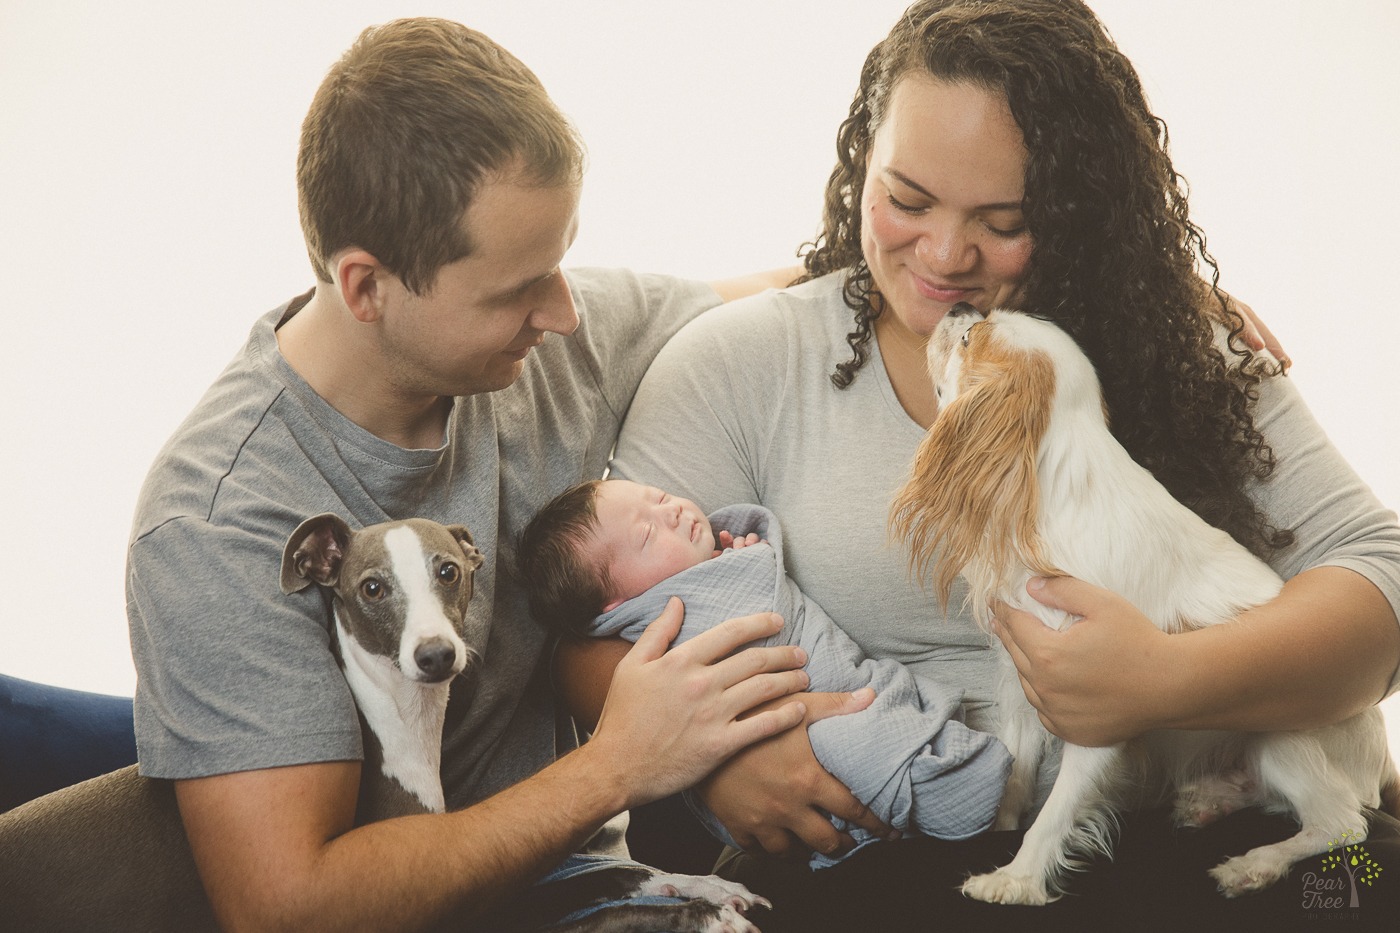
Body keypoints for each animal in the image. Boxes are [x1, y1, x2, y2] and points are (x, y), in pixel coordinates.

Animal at [890, 305, 1394, 902]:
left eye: (969, 337)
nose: (959, 308)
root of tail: (1381, 759)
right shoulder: (1024, 684)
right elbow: (1016, 776)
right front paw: (1002, 832)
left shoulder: (1094, 710)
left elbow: (1054, 813)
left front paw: (1016, 878)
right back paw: (1211, 801)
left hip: (1284, 734)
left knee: (1341, 823)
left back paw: (1255, 864)